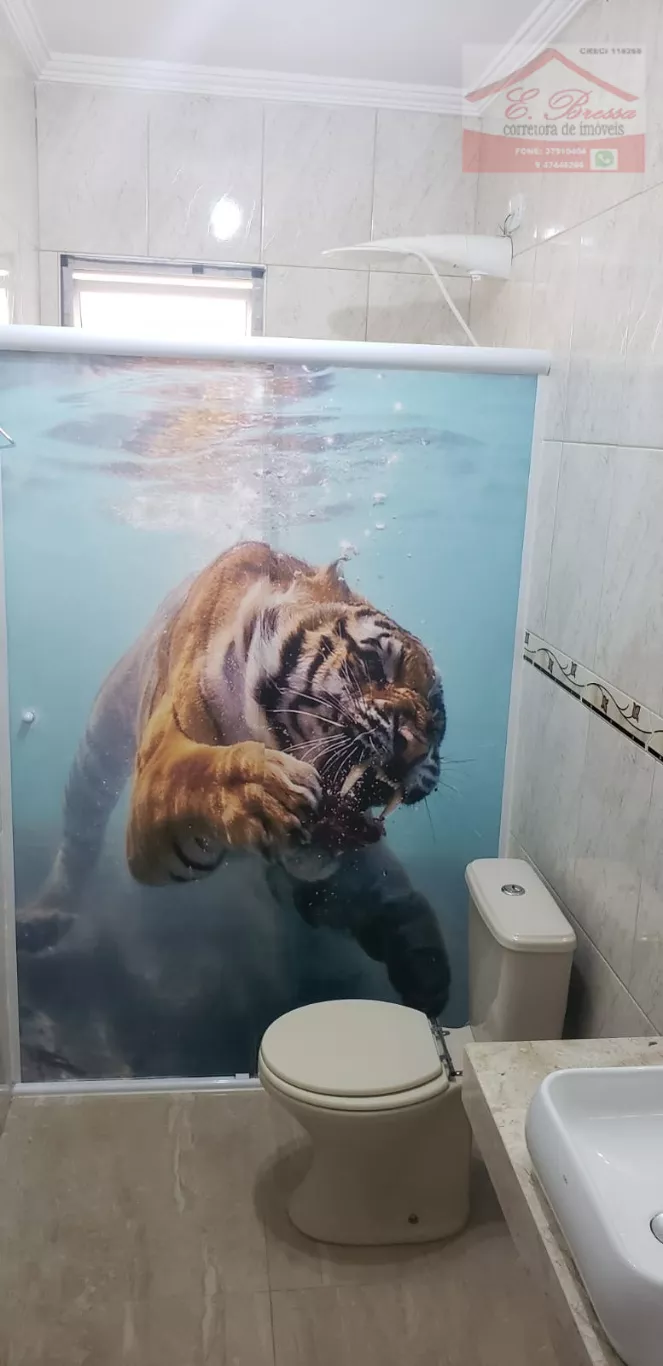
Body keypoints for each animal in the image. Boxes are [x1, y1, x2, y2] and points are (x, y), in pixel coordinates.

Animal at [19, 541, 451, 1018]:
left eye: (437, 715)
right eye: (374, 663)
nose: (415, 748)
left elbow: (382, 886)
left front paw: (427, 968)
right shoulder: (157, 774)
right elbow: (197, 776)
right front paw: (265, 793)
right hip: (98, 745)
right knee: (80, 835)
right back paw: (41, 921)